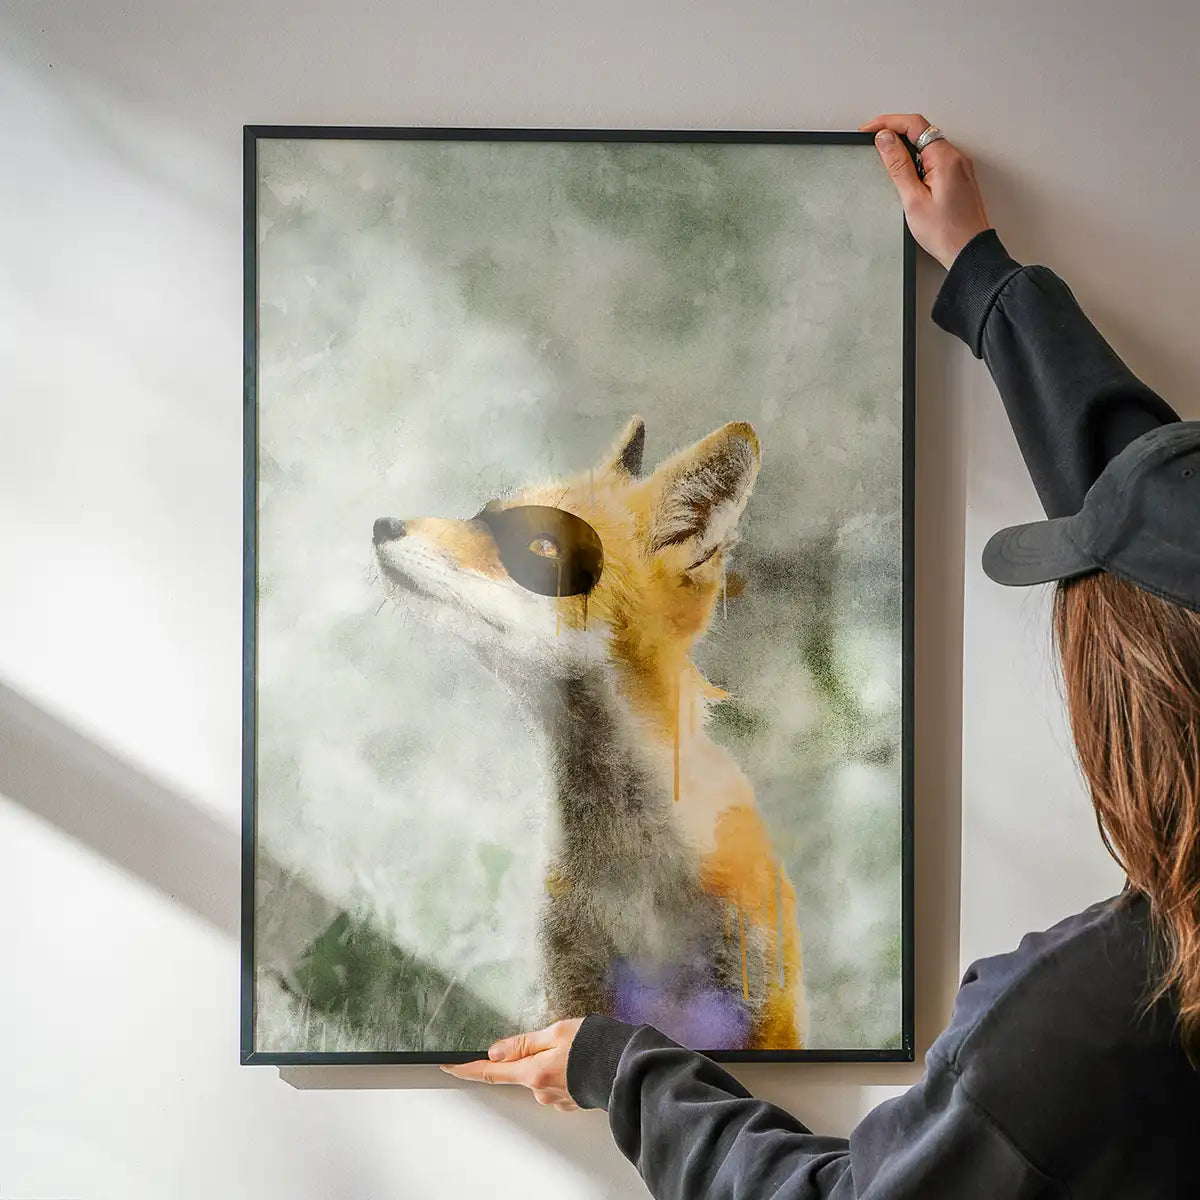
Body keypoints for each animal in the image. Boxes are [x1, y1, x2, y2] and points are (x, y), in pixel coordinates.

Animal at [372, 416, 807, 1050]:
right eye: (482, 514)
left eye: (542, 547)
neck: (636, 888)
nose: (382, 523)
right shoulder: (572, 989)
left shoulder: (759, 1006)